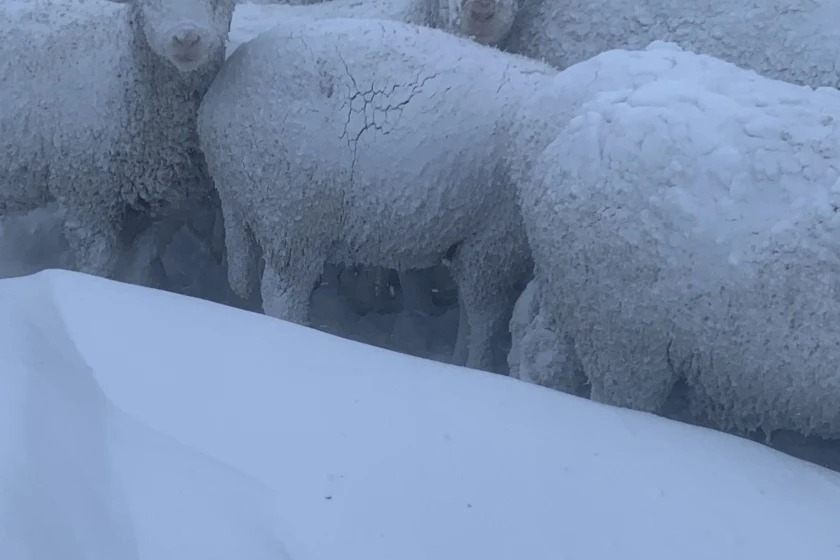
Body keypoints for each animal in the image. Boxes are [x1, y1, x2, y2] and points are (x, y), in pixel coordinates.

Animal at [199, 18, 556, 372]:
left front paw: (458, 360)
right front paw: (476, 367)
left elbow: (471, 317)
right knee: (282, 295)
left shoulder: (476, 243)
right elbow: (486, 320)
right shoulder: (494, 245)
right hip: (292, 221)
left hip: (261, 211)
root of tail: (215, 108)